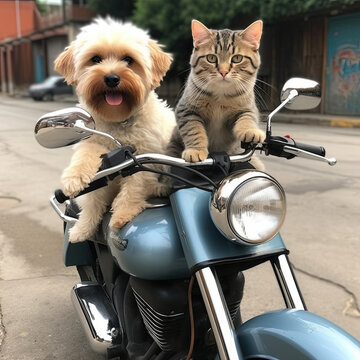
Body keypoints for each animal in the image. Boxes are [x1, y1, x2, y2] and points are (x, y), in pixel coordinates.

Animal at [53, 16, 176, 242]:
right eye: (95, 59)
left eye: (128, 59)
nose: (111, 78)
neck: (119, 119)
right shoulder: (95, 141)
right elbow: (86, 161)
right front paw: (74, 178)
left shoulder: (143, 154)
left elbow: (134, 186)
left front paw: (124, 213)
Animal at [168, 20, 264, 169]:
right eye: (211, 58)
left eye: (237, 58)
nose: (223, 72)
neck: (221, 94)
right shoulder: (186, 110)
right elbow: (194, 130)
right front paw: (196, 150)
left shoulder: (247, 108)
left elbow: (247, 118)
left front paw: (250, 131)